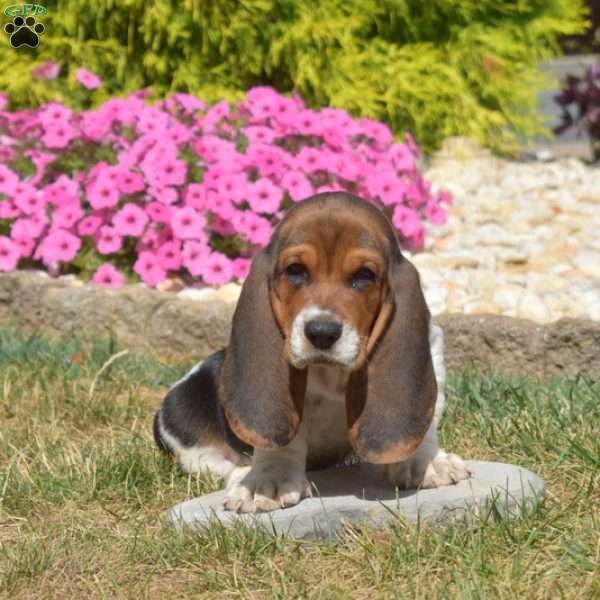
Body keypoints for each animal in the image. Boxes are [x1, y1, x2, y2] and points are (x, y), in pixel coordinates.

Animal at [154, 191, 468, 510]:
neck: (333, 374)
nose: (322, 332)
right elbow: (284, 440)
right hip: (180, 413)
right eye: (295, 270)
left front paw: (427, 462)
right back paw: (242, 473)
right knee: (213, 460)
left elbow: (427, 423)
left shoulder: (433, 353)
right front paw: (268, 481)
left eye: (365, 275)